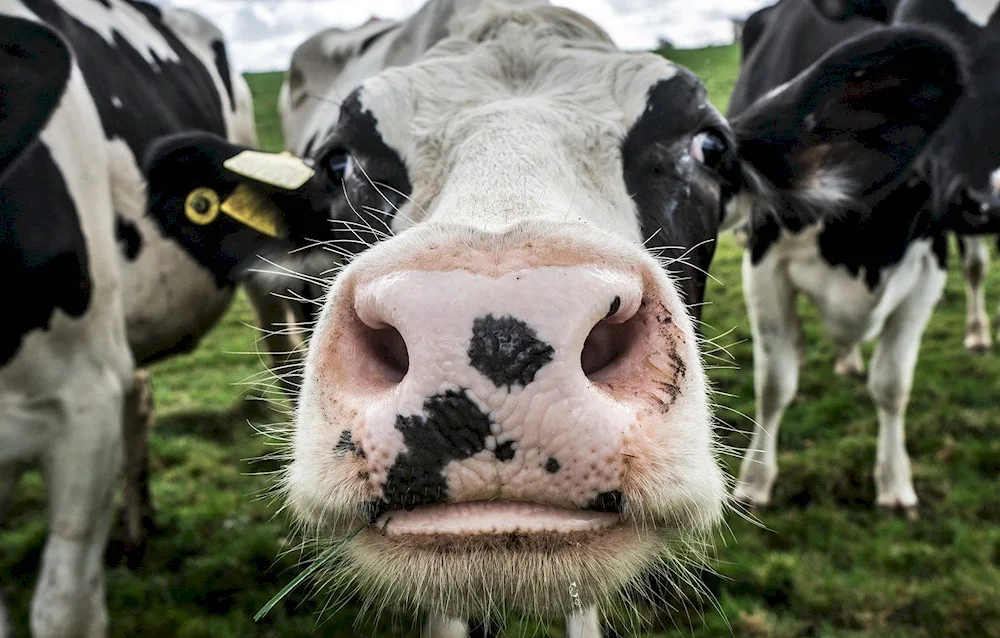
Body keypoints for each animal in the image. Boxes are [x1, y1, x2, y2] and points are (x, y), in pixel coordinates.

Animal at [728, 0, 1000, 516]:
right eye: (915, 22)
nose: (988, 200)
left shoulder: (927, 265)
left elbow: (892, 384)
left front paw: (895, 483)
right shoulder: (763, 257)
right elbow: (774, 384)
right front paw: (755, 481)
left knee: (974, 266)